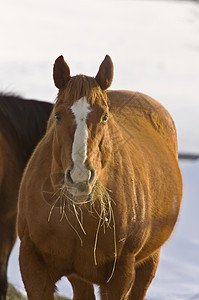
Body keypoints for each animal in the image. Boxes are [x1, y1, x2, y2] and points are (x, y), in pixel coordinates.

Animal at [17, 55, 182, 298]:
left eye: (104, 116)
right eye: (58, 115)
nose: (80, 178)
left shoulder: (120, 273)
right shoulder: (32, 264)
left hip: (149, 261)